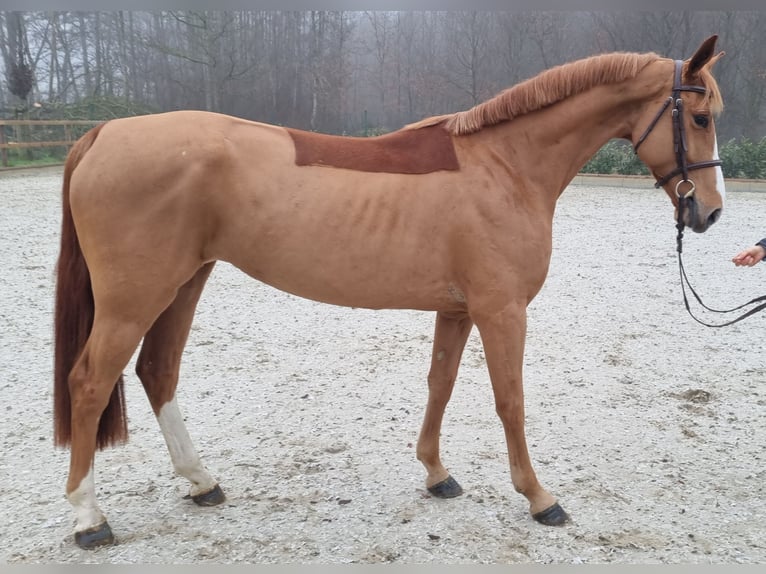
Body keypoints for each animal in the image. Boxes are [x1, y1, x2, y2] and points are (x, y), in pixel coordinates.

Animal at [52, 36, 728, 548]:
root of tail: (103, 134)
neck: (505, 165)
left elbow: (440, 385)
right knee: (89, 383)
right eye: (700, 118)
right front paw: (539, 497)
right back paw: (89, 518)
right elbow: (510, 400)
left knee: (157, 372)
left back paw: (201, 482)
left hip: (184, 283)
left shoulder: (457, 309)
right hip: (134, 299)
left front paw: (436, 474)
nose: (711, 213)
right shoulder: (502, 312)